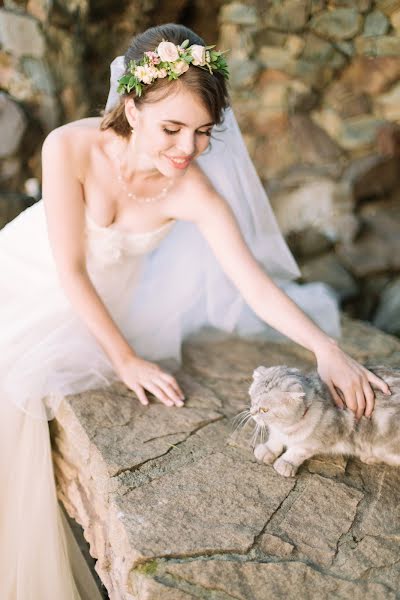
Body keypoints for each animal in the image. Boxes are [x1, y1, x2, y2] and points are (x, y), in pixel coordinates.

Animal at [248, 360, 398, 478]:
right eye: (253, 400)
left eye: (265, 410)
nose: (252, 413)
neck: (286, 428)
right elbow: (275, 439)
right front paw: (268, 449)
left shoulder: (321, 437)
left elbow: (298, 451)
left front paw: (286, 463)